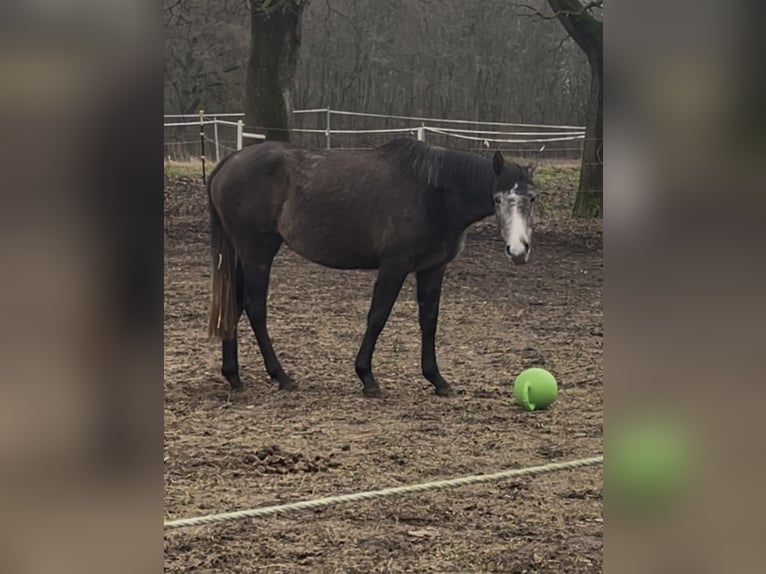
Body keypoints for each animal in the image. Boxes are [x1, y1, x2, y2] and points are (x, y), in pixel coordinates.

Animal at [207, 138, 536, 400]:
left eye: (532, 198)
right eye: (498, 199)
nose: (519, 250)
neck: (433, 193)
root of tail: (229, 162)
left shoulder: (432, 268)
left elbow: (429, 321)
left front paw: (437, 379)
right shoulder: (394, 265)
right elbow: (378, 316)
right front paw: (367, 377)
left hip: (244, 254)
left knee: (234, 304)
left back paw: (233, 375)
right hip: (258, 252)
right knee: (255, 306)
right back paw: (281, 375)